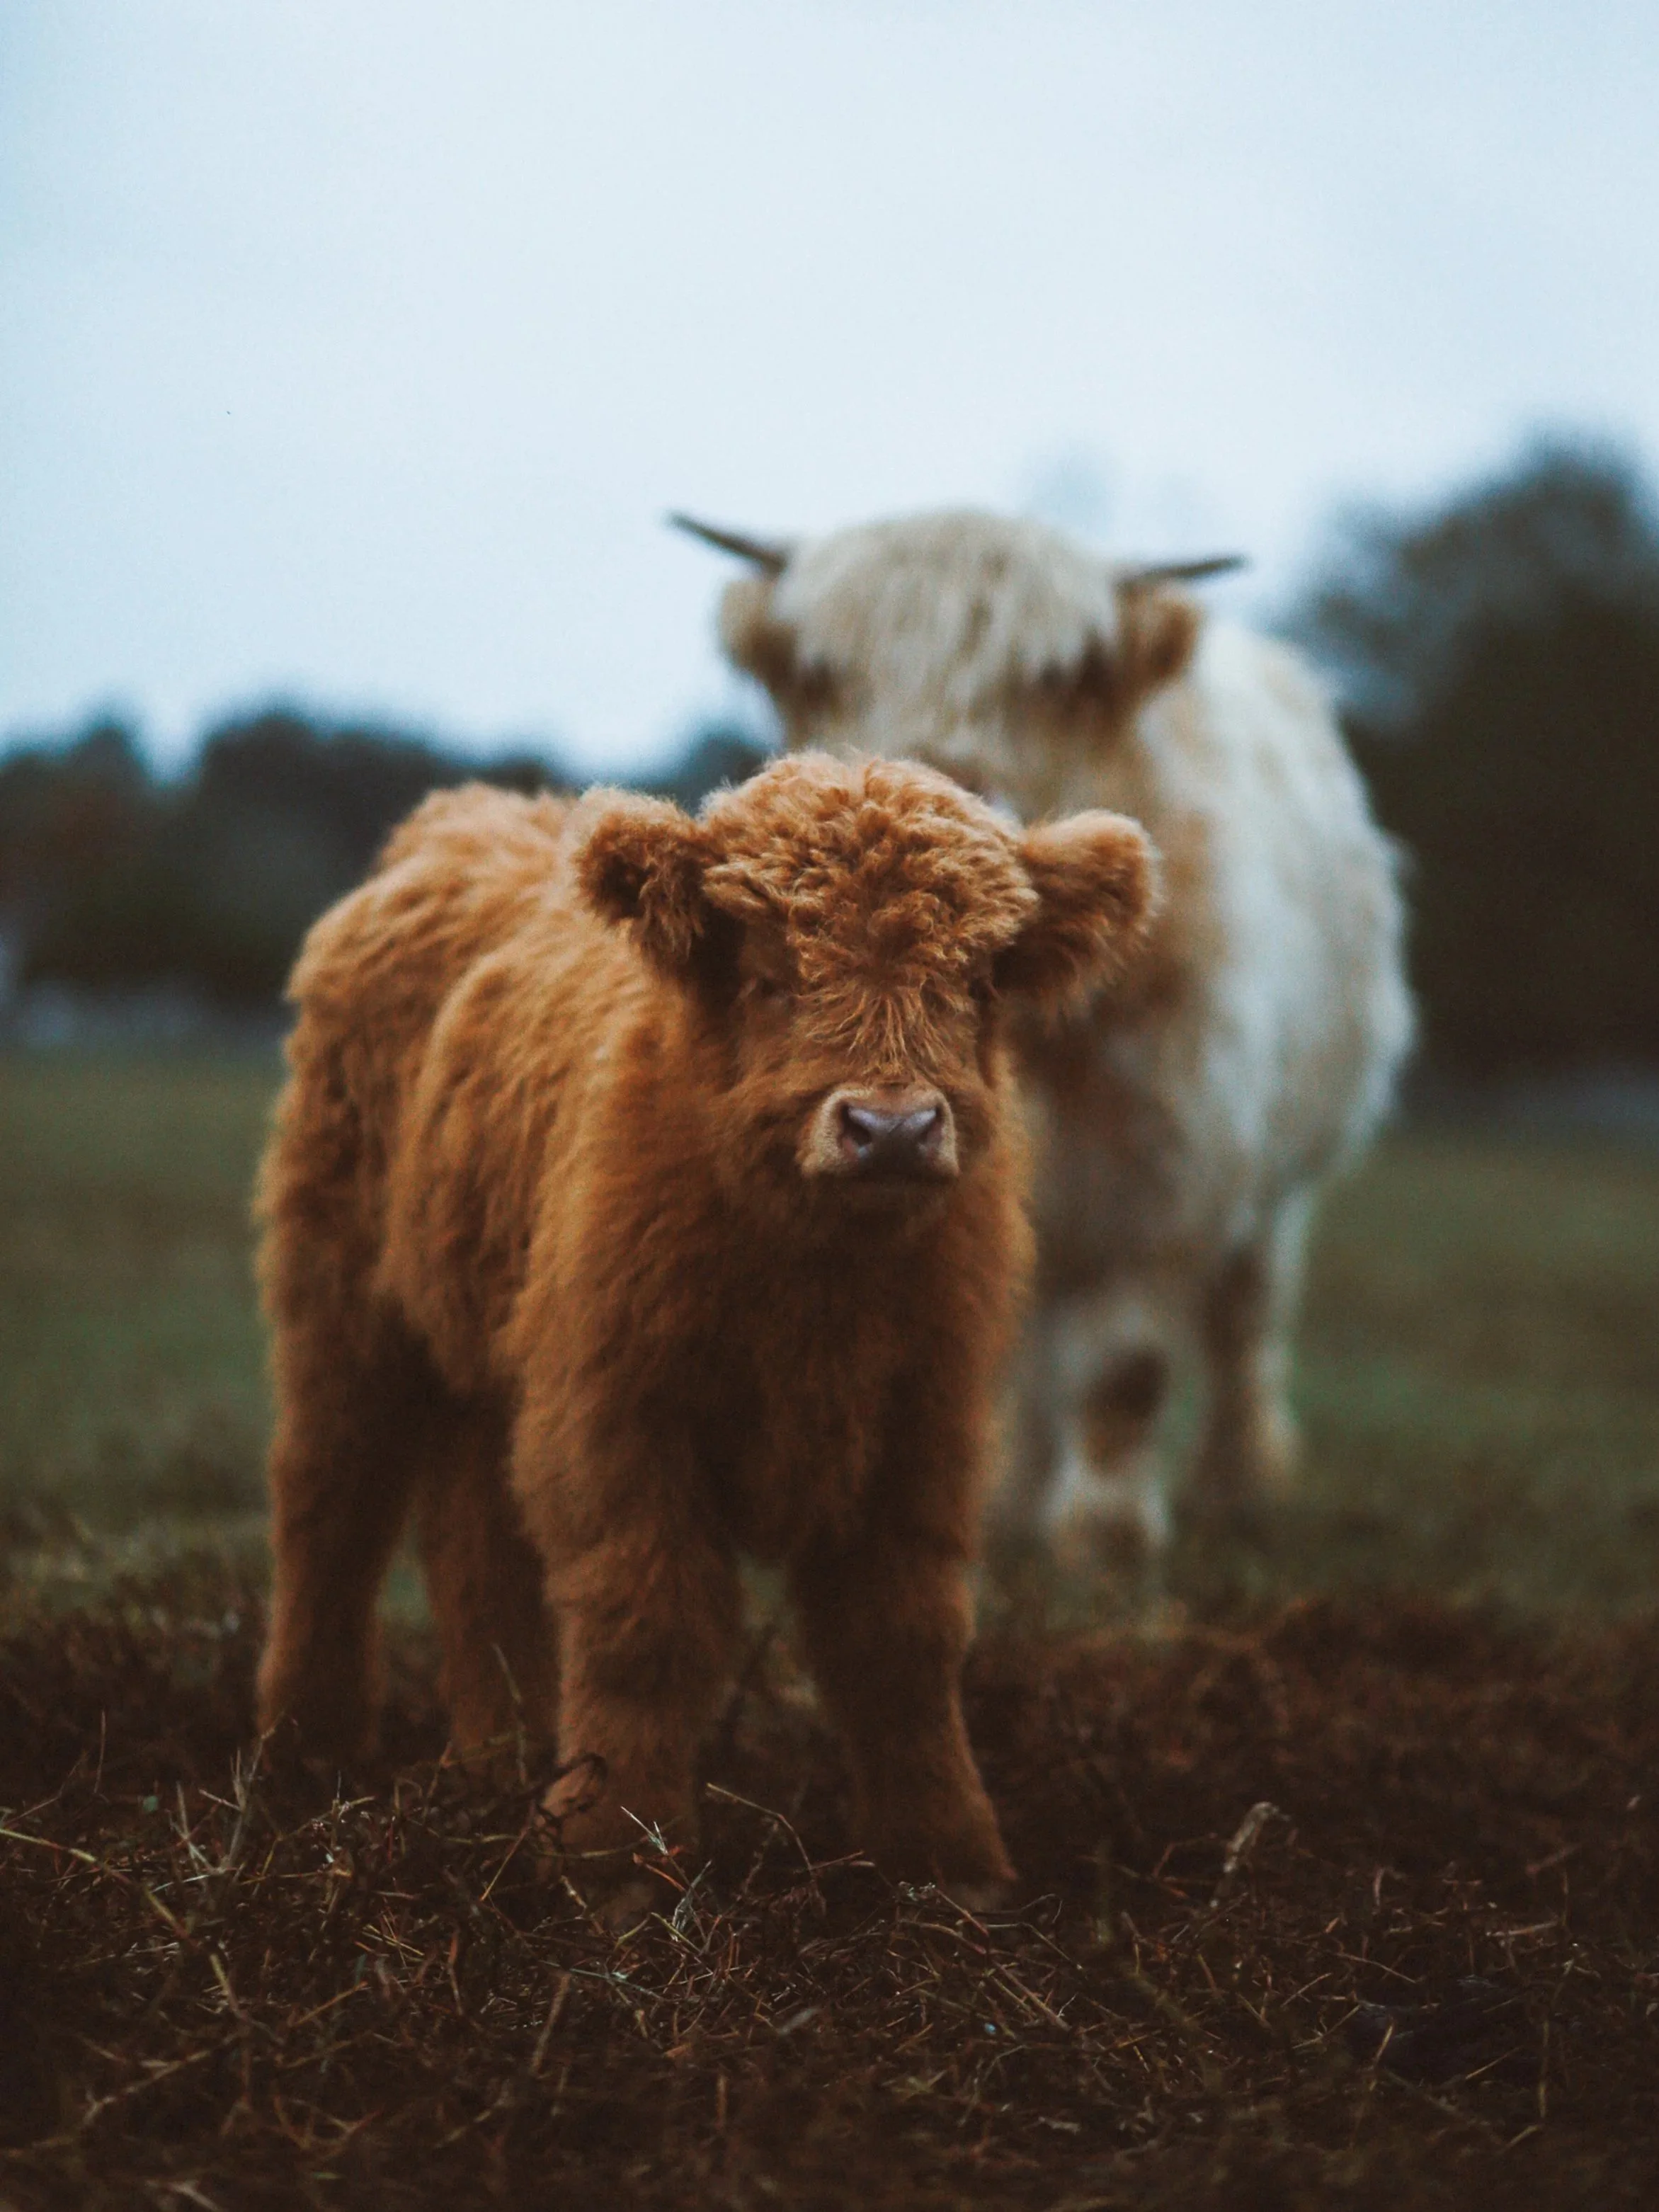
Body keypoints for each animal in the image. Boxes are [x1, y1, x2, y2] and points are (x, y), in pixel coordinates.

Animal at [254, 752, 1157, 1912]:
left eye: (978, 979)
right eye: (770, 975)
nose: (891, 1130)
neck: (813, 1280)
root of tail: (464, 817)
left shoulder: (924, 1424)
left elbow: (904, 1639)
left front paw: (946, 1862)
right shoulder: (619, 1412)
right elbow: (647, 1626)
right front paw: (614, 1859)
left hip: (487, 1363)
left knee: (474, 1550)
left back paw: (496, 1766)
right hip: (343, 1306)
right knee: (330, 1504)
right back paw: (306, 1750)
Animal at [675, 508, 1413, 1571]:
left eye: (1058, 677)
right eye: (819, 669)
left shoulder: (1160, 1168)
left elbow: (1124, 1365)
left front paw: (1105, 1538)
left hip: (1281, 1172)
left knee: (1243, 1317)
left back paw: (1233, 1487)